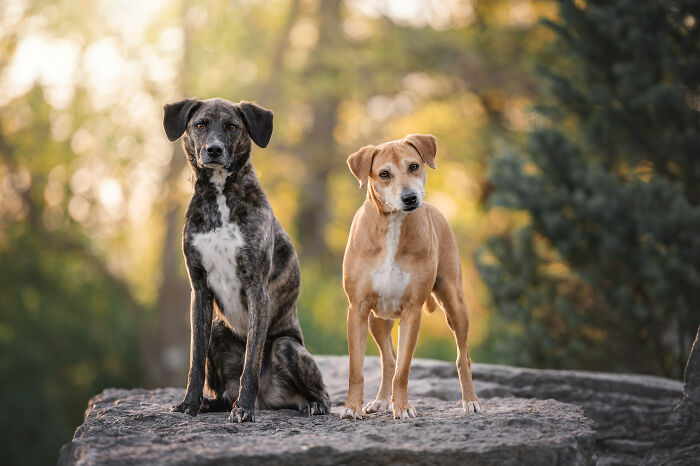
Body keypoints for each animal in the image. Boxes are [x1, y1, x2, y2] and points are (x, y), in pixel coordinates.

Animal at [165, 97, 330, 422]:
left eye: (232, 127)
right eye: (200, 125)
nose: (213, 150)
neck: (220, 195)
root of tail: (269, 399)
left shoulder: (257, 289)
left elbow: (251, 361)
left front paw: (243, 409)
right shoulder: (199, 291)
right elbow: (195, 360)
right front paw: (190, 403)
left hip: (286, 346)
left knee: (323, 395)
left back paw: (310, 404)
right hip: (218, 330)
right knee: (222, 391)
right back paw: (211, 403)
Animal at [340, 133, 482, 420]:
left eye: (414, 166)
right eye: (384, 174)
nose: (409, 197)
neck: (393, 225)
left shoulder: (412, 310)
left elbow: (403, 369)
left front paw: (403, 407)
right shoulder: (358, 308)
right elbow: (356, 368)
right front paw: (352, 407)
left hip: (455, 302)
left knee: (463, 356)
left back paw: (470, 400)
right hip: (377, 319)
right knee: (388, 359)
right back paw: (381, 401)